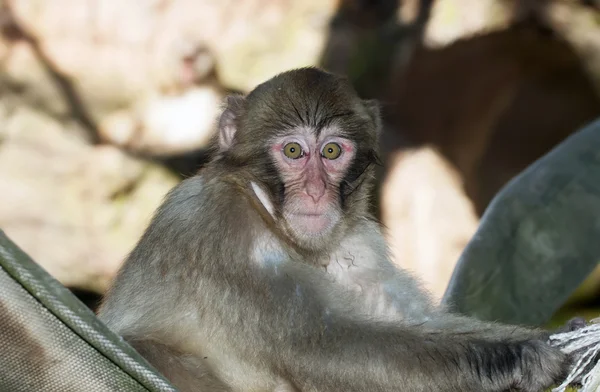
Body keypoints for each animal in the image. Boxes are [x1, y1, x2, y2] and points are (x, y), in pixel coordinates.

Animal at [98, 67, 572, 392]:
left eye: (331, 152)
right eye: (293, 151)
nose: (315, 192)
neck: (268, 216)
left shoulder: (358, 241)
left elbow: (413, 320)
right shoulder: (220, 229)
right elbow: (322, 348)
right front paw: (519, 355)